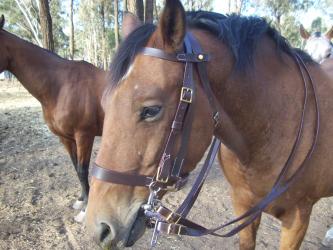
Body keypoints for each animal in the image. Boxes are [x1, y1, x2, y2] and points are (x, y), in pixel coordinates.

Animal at [0, 15, 106, 221]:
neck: (60, 86)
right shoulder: (66, 138)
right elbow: (76, 167)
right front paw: (81, 200)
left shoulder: (84, 136)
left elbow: (82, 170)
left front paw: (85, 211)